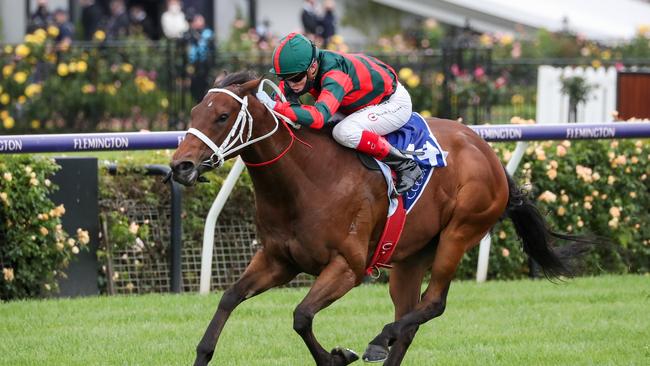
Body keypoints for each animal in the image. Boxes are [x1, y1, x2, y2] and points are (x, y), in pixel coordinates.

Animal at [170, 70, 584, 364]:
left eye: (223, 116)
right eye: (194, 113)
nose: (181, 166)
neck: (305, 180)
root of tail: (487, 152)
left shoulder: (347, 267)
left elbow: (301, 315)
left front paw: (337, 357)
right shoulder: (277, 260)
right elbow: (229, 298)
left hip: (460, 231)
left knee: (433, 303)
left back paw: (377, 340)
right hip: (411, 256)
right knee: (410, 319)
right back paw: (386, 341)